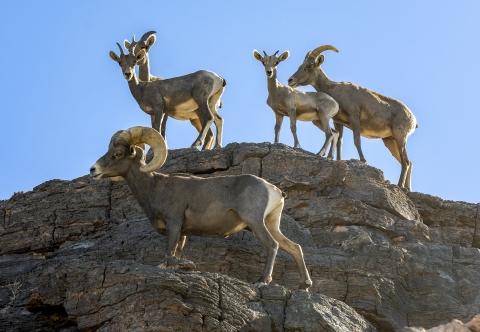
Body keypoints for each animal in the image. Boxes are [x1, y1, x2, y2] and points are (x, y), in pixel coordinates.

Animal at [90, 126, 314, 290]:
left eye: (118, 153)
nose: (93, 170)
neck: (153, 187)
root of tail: (274, 191)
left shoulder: (173, 223)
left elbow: (168, 254)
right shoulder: (182, 232)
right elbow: (176, 253)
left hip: (255, 222)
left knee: (272, 245)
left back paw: (262, 281)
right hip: (271, 224)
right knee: (294, 247)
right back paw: (305, 285)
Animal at [286, 46, 418, 191]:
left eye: (308, 66)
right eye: (301, 65)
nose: (290, 80)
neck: (334, 90)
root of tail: (413, 120)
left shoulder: (354, 118)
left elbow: (356, 140)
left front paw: (363, 161)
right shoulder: (338, 122)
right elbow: (339, 141)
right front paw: (338, 159)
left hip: (400, 137)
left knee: (405, 161)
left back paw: (399, 185)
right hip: (389, 140)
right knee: (408, 162)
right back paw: (407, 188)